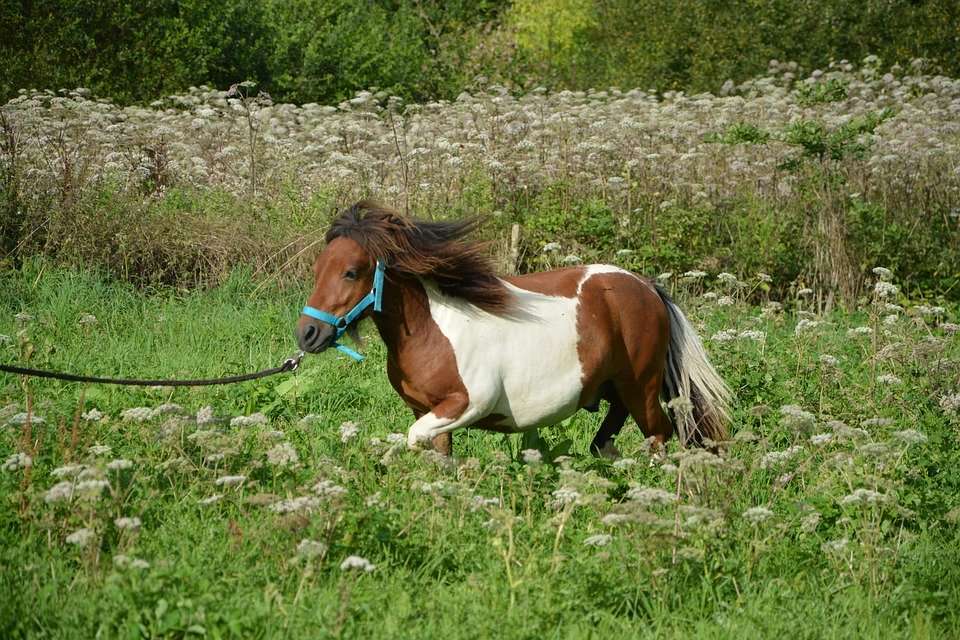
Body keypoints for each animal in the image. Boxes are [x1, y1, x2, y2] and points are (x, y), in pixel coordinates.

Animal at [295, 201, 731, 457]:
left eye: (351, 272)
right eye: (317, 269)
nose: (307, 335)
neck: (433, 331)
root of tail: (646, 286)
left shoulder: (466, 404)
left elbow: (413, 437)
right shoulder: (430, 411)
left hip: (640, 386)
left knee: (659, 435)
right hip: (614, 389)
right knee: (606, 439)